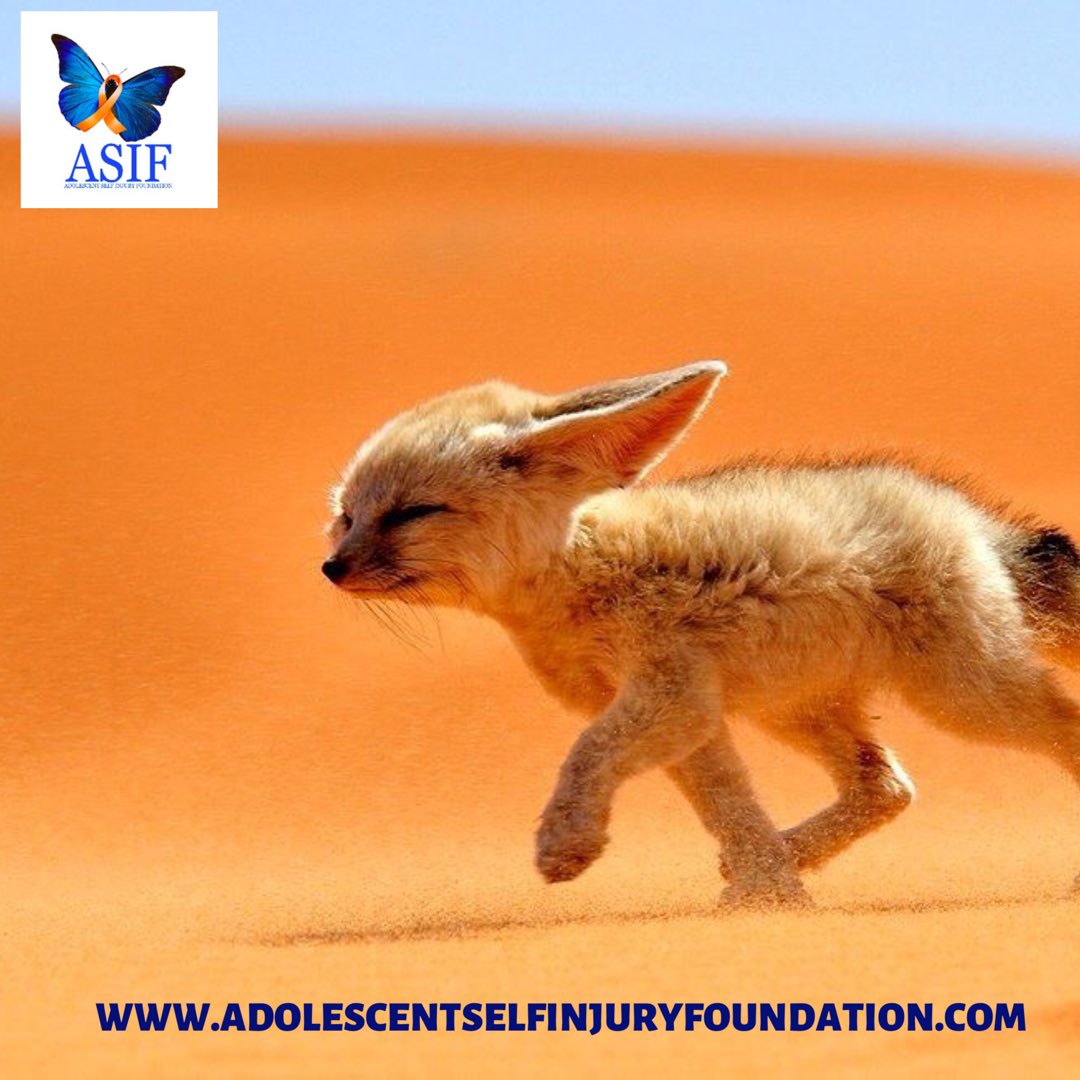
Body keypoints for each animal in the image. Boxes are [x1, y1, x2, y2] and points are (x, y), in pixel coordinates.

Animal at [322, 362, 1080, 907]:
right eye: (348, 516)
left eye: (413, 512)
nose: (331, 568)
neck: (581, 571)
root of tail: (971, 518)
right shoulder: (693, 715)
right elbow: (730, 809)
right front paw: (770, 893)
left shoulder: (671, 696)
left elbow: (587, 754)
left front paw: (566, 841)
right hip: (795, 708)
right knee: (886, 785)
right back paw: (792, 852)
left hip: (965, 698)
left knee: (1061, 727)